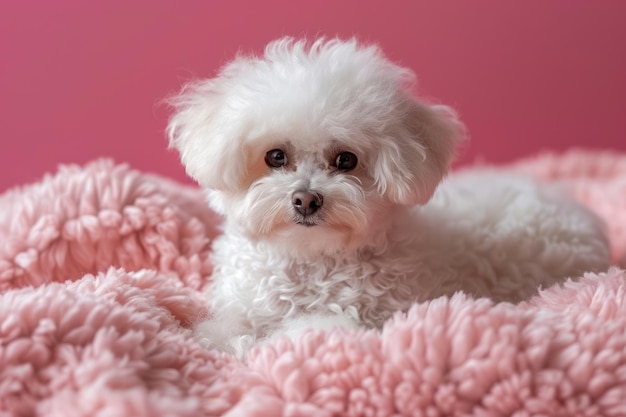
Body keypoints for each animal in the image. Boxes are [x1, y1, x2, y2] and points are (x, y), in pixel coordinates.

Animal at [168, 37, 608, 356]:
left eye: (346, 160)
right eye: (275, 156)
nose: (306, 200)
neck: (312, 261)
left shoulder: (372, 318)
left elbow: (307, 333)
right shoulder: (244, 305)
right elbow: (224, 329)